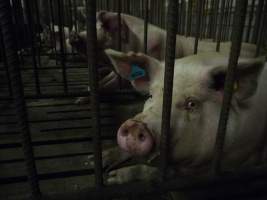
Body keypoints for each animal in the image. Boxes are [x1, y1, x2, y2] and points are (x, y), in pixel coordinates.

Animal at [95, 49, 266, 184]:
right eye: (150, 95)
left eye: (191, 104)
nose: (134, 126)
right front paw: (99, 160)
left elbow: (155, 172)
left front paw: (111, 178)